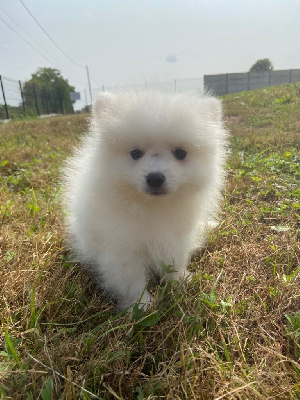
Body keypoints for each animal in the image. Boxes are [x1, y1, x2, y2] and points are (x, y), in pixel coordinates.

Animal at [62, 90, 227, 310]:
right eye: (135, 153)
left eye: (180, 153)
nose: (155, 178)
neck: (152, 207)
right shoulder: (121, 248)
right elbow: (131, 281)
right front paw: (140, 306)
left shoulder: (175, 236)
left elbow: (175, 260)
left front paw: (180, 280)